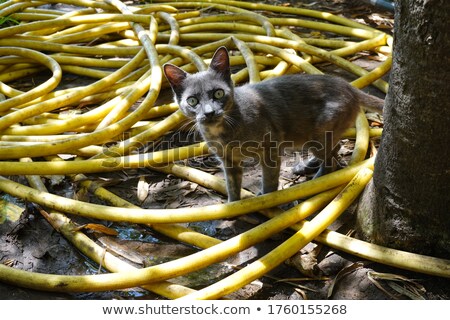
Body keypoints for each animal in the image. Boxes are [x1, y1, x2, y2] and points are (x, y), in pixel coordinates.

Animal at [163, 46, 384, 201]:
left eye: (218, 93)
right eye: (193, 101)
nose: (209, 112)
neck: (224, 131)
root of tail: (349, 87)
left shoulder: (270, 148)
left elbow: (269, 178)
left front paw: (266, 199)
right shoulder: (228, 161)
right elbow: (232, 186)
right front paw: (233, 206)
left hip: (318, 133)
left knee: (331, 160)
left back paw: (317, 180)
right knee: (335, 148)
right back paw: (308, 165)